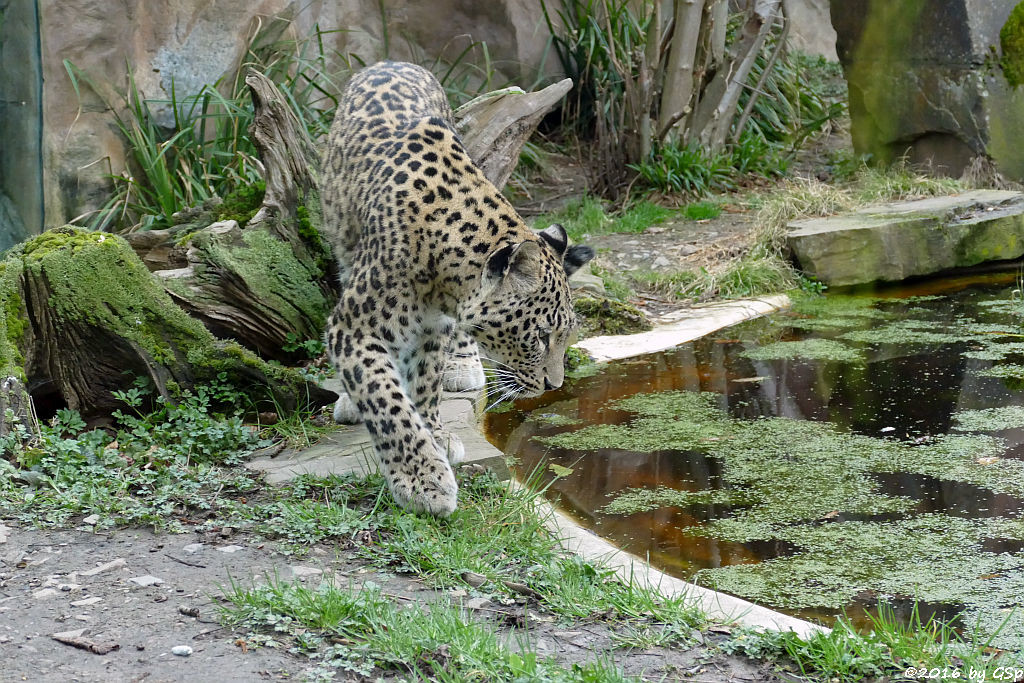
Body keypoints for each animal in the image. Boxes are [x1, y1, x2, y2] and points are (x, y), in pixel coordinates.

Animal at [319, 61, 593, 516]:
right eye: (540, 336)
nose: (554, 386)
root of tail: (392, 61)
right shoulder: (353, 327)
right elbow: (386, 398)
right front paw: (424, 481)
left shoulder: (434, 328)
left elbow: (426, 381)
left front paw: (436, 435)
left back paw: (464, 365)